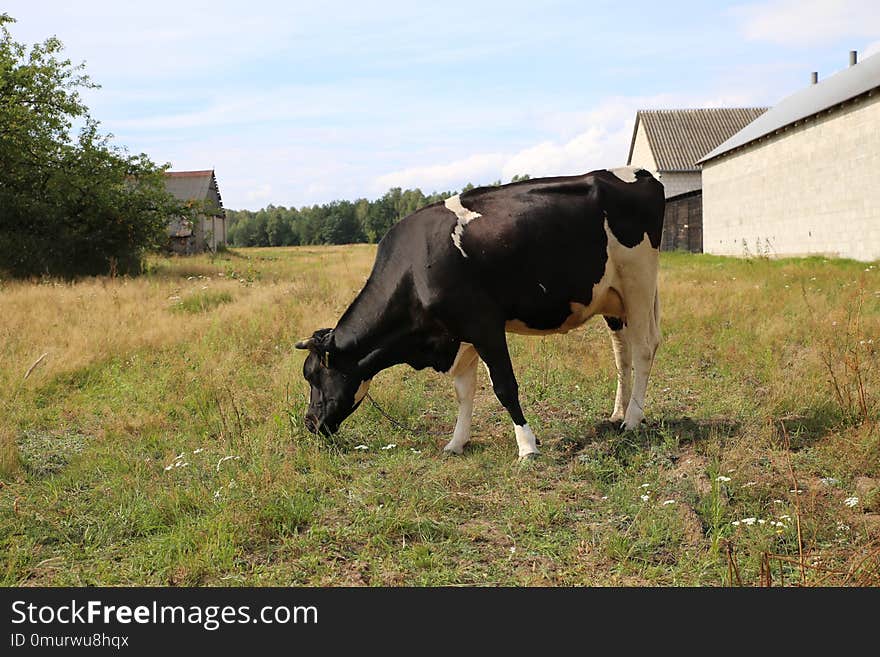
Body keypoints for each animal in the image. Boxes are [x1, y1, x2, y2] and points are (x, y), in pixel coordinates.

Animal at [294, 167, 660, 458]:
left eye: (313, 376)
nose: (309, 423)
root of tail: (640, 173)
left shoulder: (485, 326)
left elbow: (504, 386)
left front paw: (527, 446)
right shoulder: (459, 334)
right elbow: (463, 391)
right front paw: (456, 443)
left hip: (638, 282)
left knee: (644, 348)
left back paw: (632, 419)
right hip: (611, 299)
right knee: (622, 354)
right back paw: (618, 413)